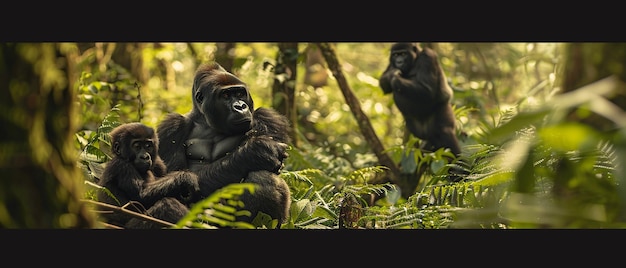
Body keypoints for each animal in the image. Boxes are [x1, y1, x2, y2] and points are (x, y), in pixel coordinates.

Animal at [157, 61, 292, 227]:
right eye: (226, 95)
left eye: (240, 94)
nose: (240, 106)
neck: (208, 122)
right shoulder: (171, 127)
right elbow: (168, 177)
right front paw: (256, 152)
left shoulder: (268, 118)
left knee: (263, 177)